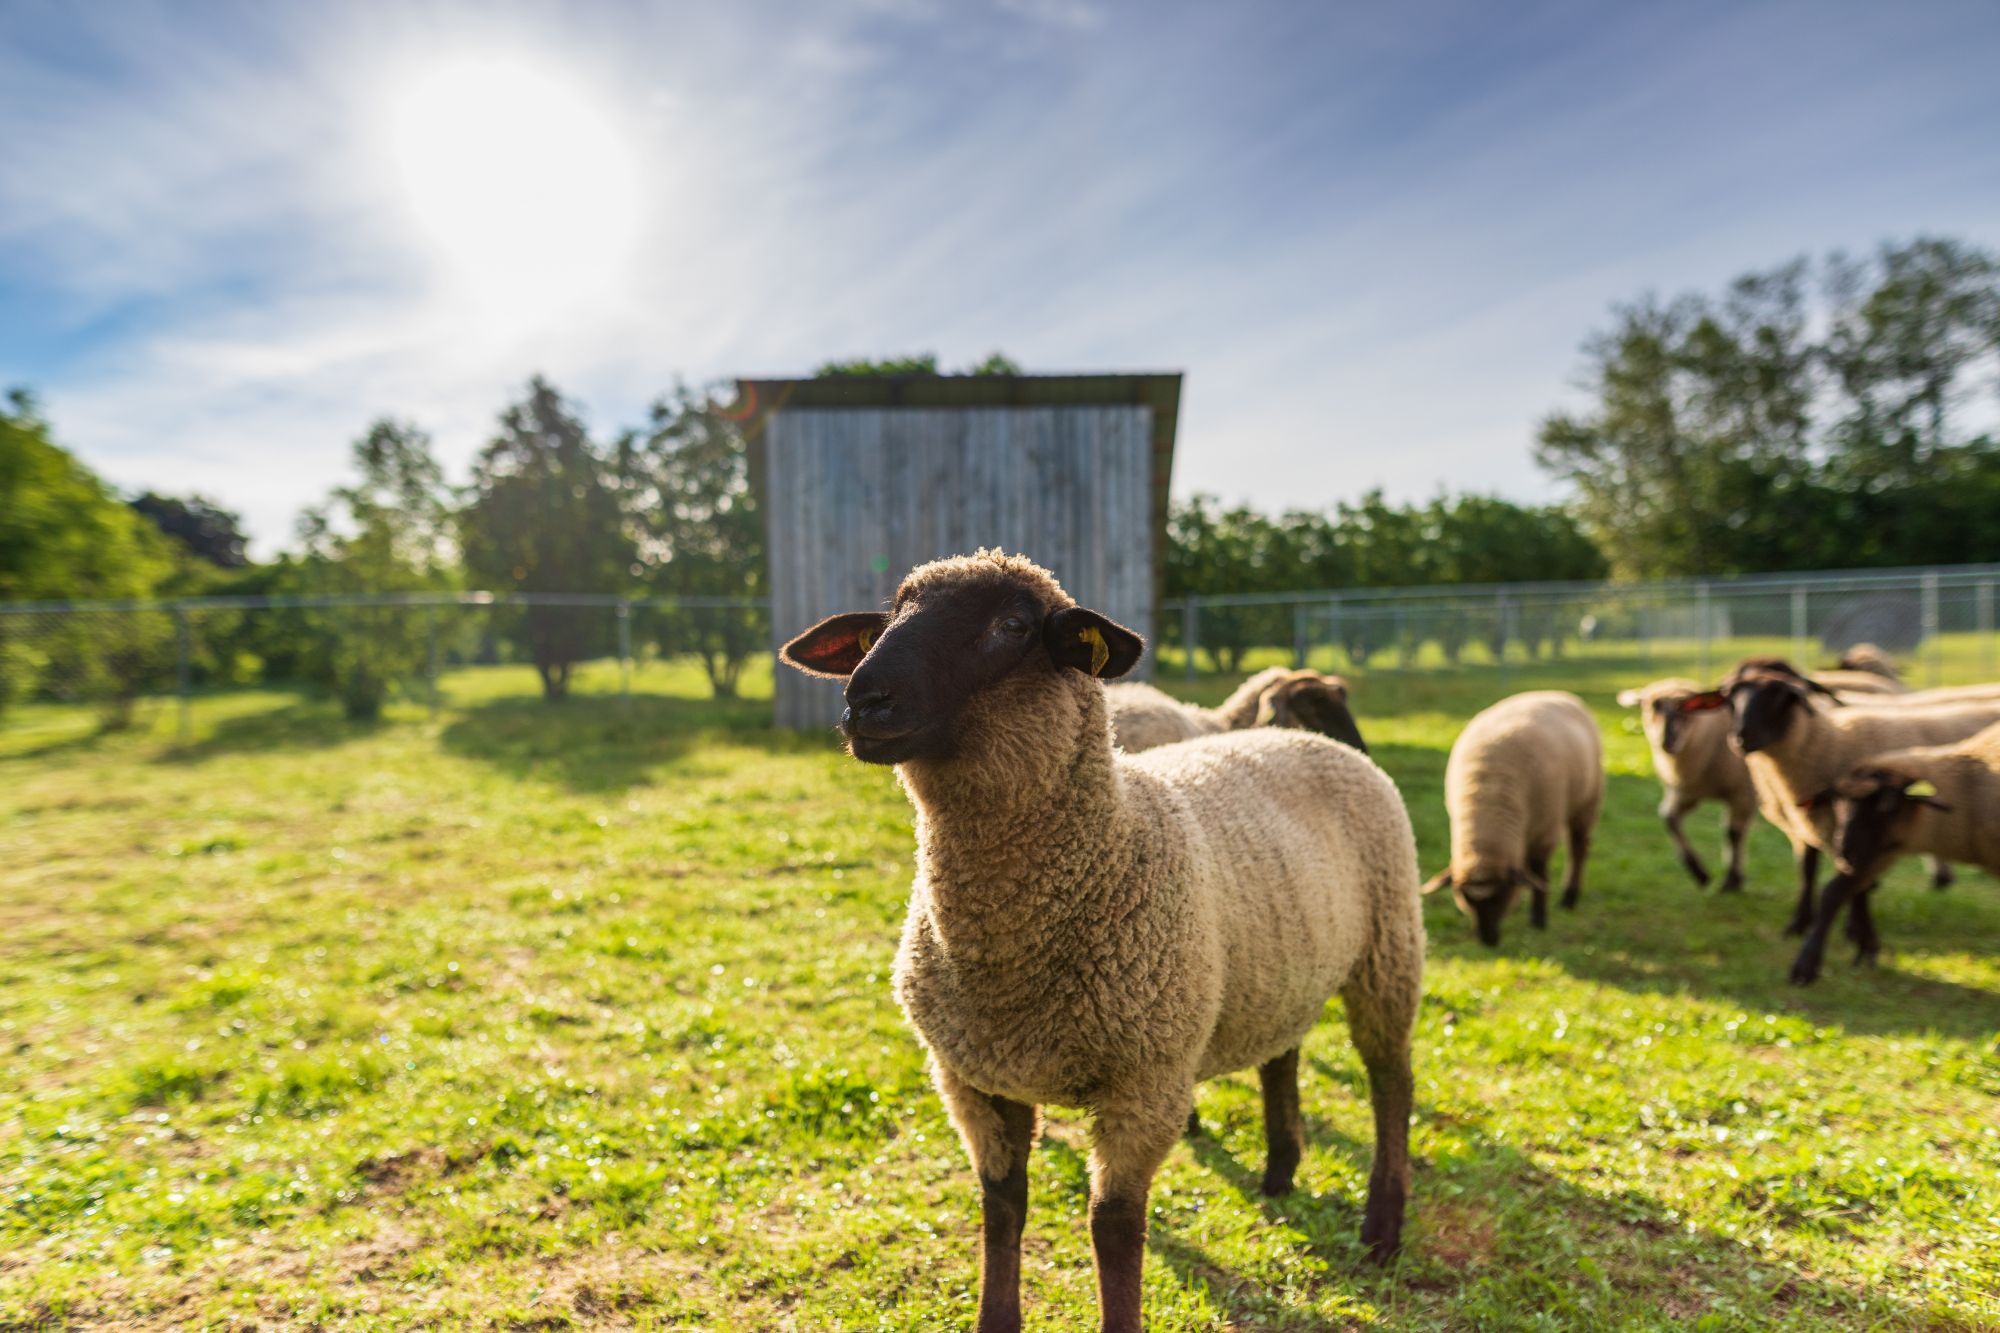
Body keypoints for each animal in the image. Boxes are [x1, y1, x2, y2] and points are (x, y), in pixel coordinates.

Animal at [776, 548, 1424, 1328]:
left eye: (1012, 625)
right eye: (883, 623)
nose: (863, 701)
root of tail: (1307, 739)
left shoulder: (1145, 1083)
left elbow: (1113, 1225)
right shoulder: (969, 1078)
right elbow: (1002, 1206)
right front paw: (996, 1316)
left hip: (1388, 951)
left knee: (1391, 1084)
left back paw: (1382, 1228)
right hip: (1278, 961)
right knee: (1282, 1052)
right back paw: (1279, 1169)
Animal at [1416, 688, 1600, 940]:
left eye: (1502, 895)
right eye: (1464, 898)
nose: (1488, 941)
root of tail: (1556, 692)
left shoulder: (1545, 830)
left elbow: (1540, 874)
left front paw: (1538, 919)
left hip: (1587, 801)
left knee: (1578, 848)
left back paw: (1569, 898)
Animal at [1616, 676, 1760, 892]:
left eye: (1686, 709)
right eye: (1650, 707)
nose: (1667, 741)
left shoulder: (1743, 792)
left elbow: (1733, 834)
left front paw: (1731, 880)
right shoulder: (1687, 793)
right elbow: (1669, 819)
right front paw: (1700, 874)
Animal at [1680, 660, 2000, 940]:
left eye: (1782, 696)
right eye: (1730, 698)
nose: (1742, 737)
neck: (1825, 741)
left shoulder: (1854, 828)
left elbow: (1853, 884)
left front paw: (1854, 931)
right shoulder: (1811, 825)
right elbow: (1807, 872)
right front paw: (1799, 925)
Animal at [1784, 720, 2000, 980]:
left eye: (1887, 804)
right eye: (1837, 802)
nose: (1843, 852)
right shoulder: (1879, 852)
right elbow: (1833, 893)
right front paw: (1809, 963)